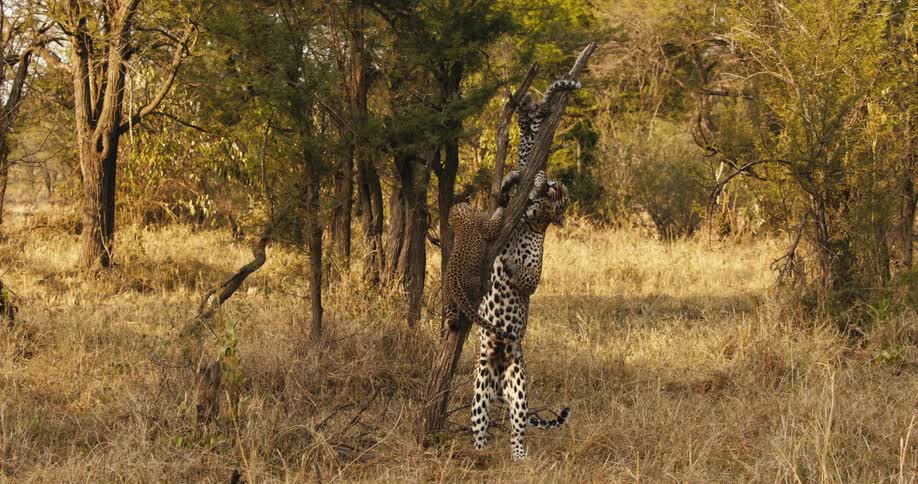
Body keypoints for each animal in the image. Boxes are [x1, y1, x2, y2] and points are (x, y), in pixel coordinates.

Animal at [470, 174, 570, 461]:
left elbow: (524, 273)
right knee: (479, 425)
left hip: (519, 390)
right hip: (481, 387)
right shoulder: (497, 231)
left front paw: (511, 263)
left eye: (562, 196)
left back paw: (519, 458)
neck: (528, 224)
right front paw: (510, 182)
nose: (554, 184)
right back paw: (479, 452)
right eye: (558, 187)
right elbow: (499, 207)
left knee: (518, 429)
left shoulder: (533, 276)